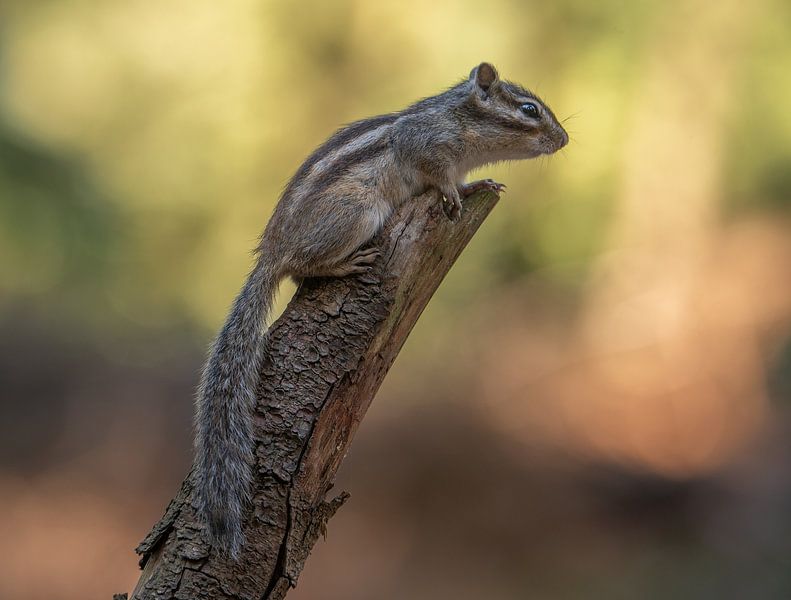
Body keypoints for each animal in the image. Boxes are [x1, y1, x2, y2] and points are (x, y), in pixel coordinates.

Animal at [194, 62, 568, 557]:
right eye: (529, 110)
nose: (564, 139)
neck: (459, 121)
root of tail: (269, 254)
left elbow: (463, 181)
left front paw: (480, 184)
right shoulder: (425, 146)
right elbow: (438, 176)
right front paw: (454, 194)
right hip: (355, 214)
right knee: (303, 265)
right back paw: (342, 263)